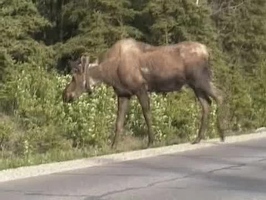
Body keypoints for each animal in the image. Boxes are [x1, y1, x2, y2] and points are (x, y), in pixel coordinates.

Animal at [62, 38, 224, 148]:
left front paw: (151, 141)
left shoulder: (140, 88)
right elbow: (119, 122)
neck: (110, 72)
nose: (65, 95)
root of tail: (207, 51)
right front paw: (113, 146)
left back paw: (221, 134)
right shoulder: (124, 94)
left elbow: (147, 114)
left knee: (219, 96)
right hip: (195, 85)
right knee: (207, 104)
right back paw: (198, 138)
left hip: (201, 79)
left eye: (74, 77)